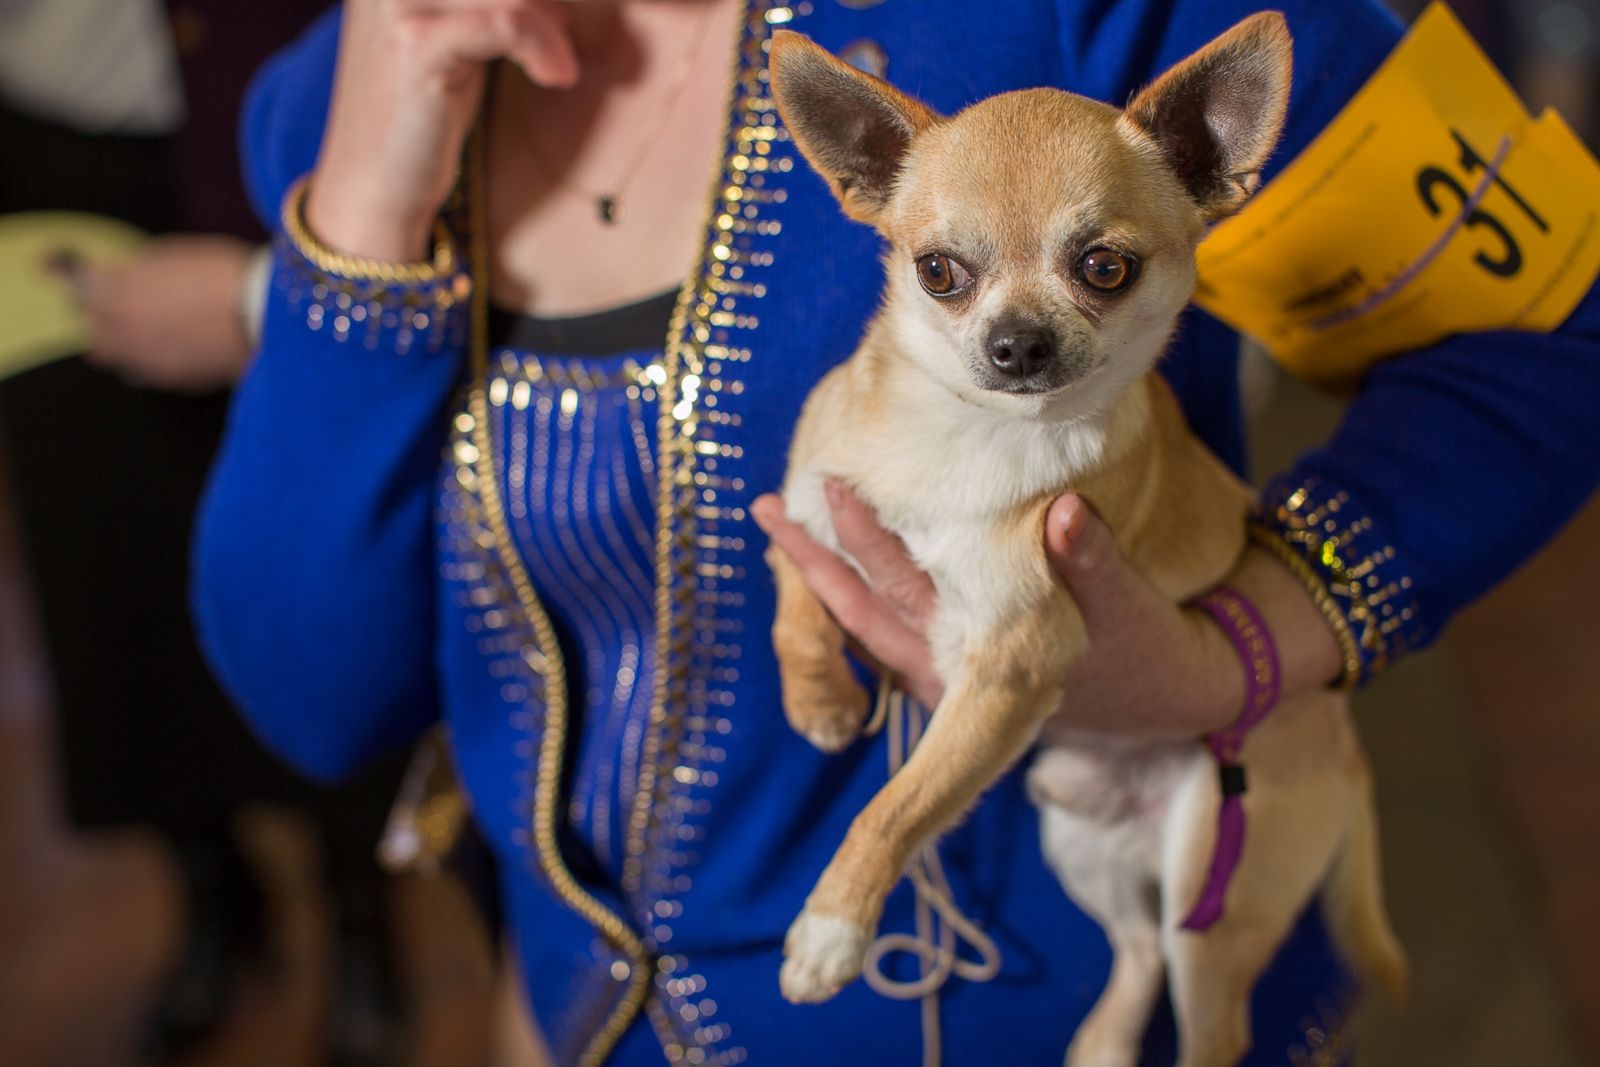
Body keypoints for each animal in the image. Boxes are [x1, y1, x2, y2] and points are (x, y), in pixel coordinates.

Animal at [768, 18, 1408, 1067]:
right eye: (938, 272)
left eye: (1105, 266)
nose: (1018, 342)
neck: (964, 432)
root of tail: (1351, 749)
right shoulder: (804, 506)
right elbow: (794, 597)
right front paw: (820, 698)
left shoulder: (1008, 670)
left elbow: (894, 806)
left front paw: (832, 926)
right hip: (1080, 834)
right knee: (1138, 951)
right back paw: (1101, 1045)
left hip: (1216, 881)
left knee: (1212, 1021)